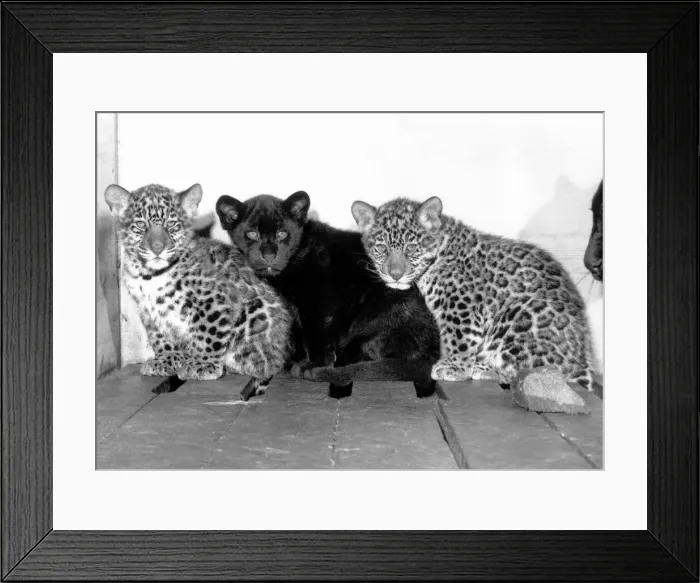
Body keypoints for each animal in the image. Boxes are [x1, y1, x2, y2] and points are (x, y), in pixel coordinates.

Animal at [104, 182, 292, 398]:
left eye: (172, 225)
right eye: (141, 225)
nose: (158, 248)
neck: (149, 275)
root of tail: (278, 359)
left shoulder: (213, 300)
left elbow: (208, 332)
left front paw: (203, 364)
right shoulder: (148, 308)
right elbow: (158, 334)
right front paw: (167, 358)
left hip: (254, 313)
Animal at [351, 196, 599, 392]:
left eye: (411, 248)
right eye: (381, 248)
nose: (395, 275)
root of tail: (583, 363)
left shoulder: (460, 304)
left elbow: (459, 337)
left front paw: (453, 366)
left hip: (519, 312)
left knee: (538, 374)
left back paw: (483, 368)